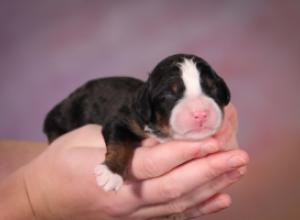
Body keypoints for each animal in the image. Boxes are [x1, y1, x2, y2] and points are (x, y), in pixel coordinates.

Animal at [43, 53, 231, 191]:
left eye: (212, 88)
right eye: (169, 94)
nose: (200, 113)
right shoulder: (122, 120)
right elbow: (120, 144)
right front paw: (111, 173)